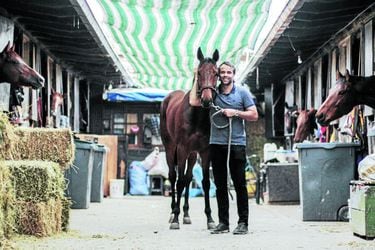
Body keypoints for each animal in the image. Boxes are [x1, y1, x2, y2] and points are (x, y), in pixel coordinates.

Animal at [160, 47, 219, 230]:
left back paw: (186, 214)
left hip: (192, 155)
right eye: (199, 73)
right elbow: (178, 181)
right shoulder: (182, 149)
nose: (207, 100)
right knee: (173, 176)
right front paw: (175, 219)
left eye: (216, 73)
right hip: (170, 148)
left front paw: (210, 219)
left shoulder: (205, 151)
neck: (197, 116)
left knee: (187, 178)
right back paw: (173, 213)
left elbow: (205, 183)